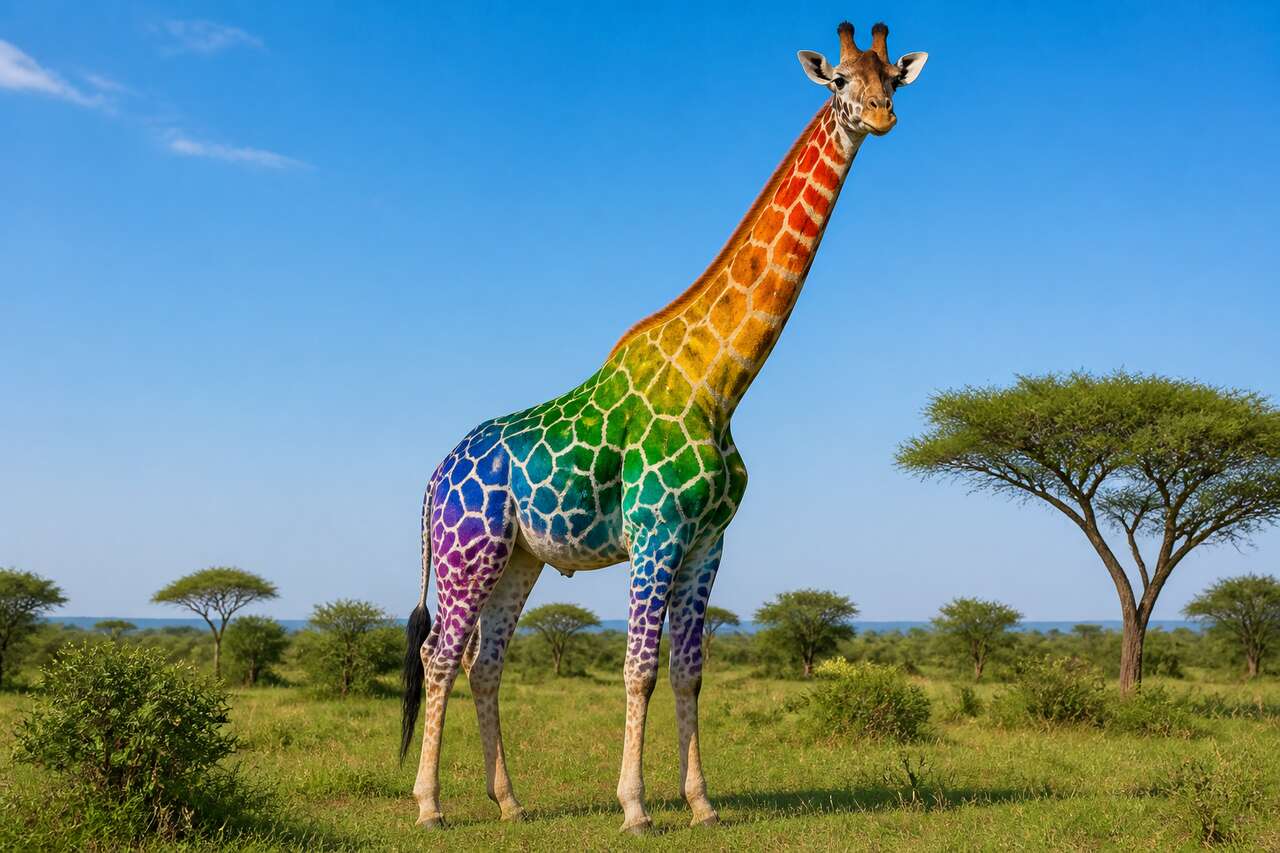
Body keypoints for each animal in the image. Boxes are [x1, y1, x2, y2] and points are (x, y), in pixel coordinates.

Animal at [399, 20, 929, 833]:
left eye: (892, 79)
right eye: (841, 81)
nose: (880, 117)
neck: (720, 384)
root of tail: (434, 477)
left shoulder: (710, 539)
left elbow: (690, 672)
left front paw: (702, 803)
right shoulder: (657, 530)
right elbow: (640, 669)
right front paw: (636, 806)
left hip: (519, 557)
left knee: (485, 661)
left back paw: (510, 802)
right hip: (469, 553)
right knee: (440, 657)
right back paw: (429, 806)